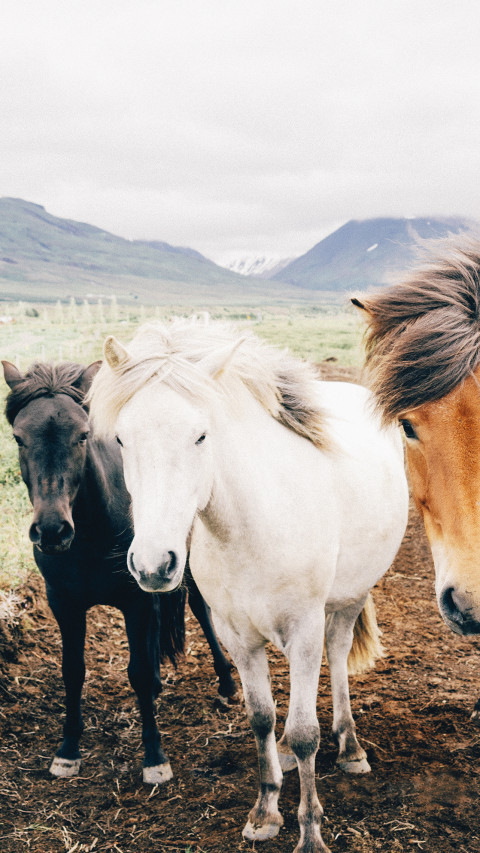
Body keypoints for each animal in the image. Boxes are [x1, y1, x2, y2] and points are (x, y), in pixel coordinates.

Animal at [2, 359, 236, 784]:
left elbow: (139, 671)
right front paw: (67, 751)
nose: (52, 530)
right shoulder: (63, 604)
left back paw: (226, 684)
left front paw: (155, 757)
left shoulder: (135, 598)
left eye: (82, 435)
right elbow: (73, 671)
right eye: (18, 438)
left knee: (200, 610)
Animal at [88, 316, 408, 853]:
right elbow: (261, 718)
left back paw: (350, 746)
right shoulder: (236, 636)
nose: (153, 565)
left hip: (349, 598)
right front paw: (264, 812)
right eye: (122, 441)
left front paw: (310, 833)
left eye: (201, 435)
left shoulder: (304, 629)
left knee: (339, 654)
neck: (252, 524)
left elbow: (305, 731)